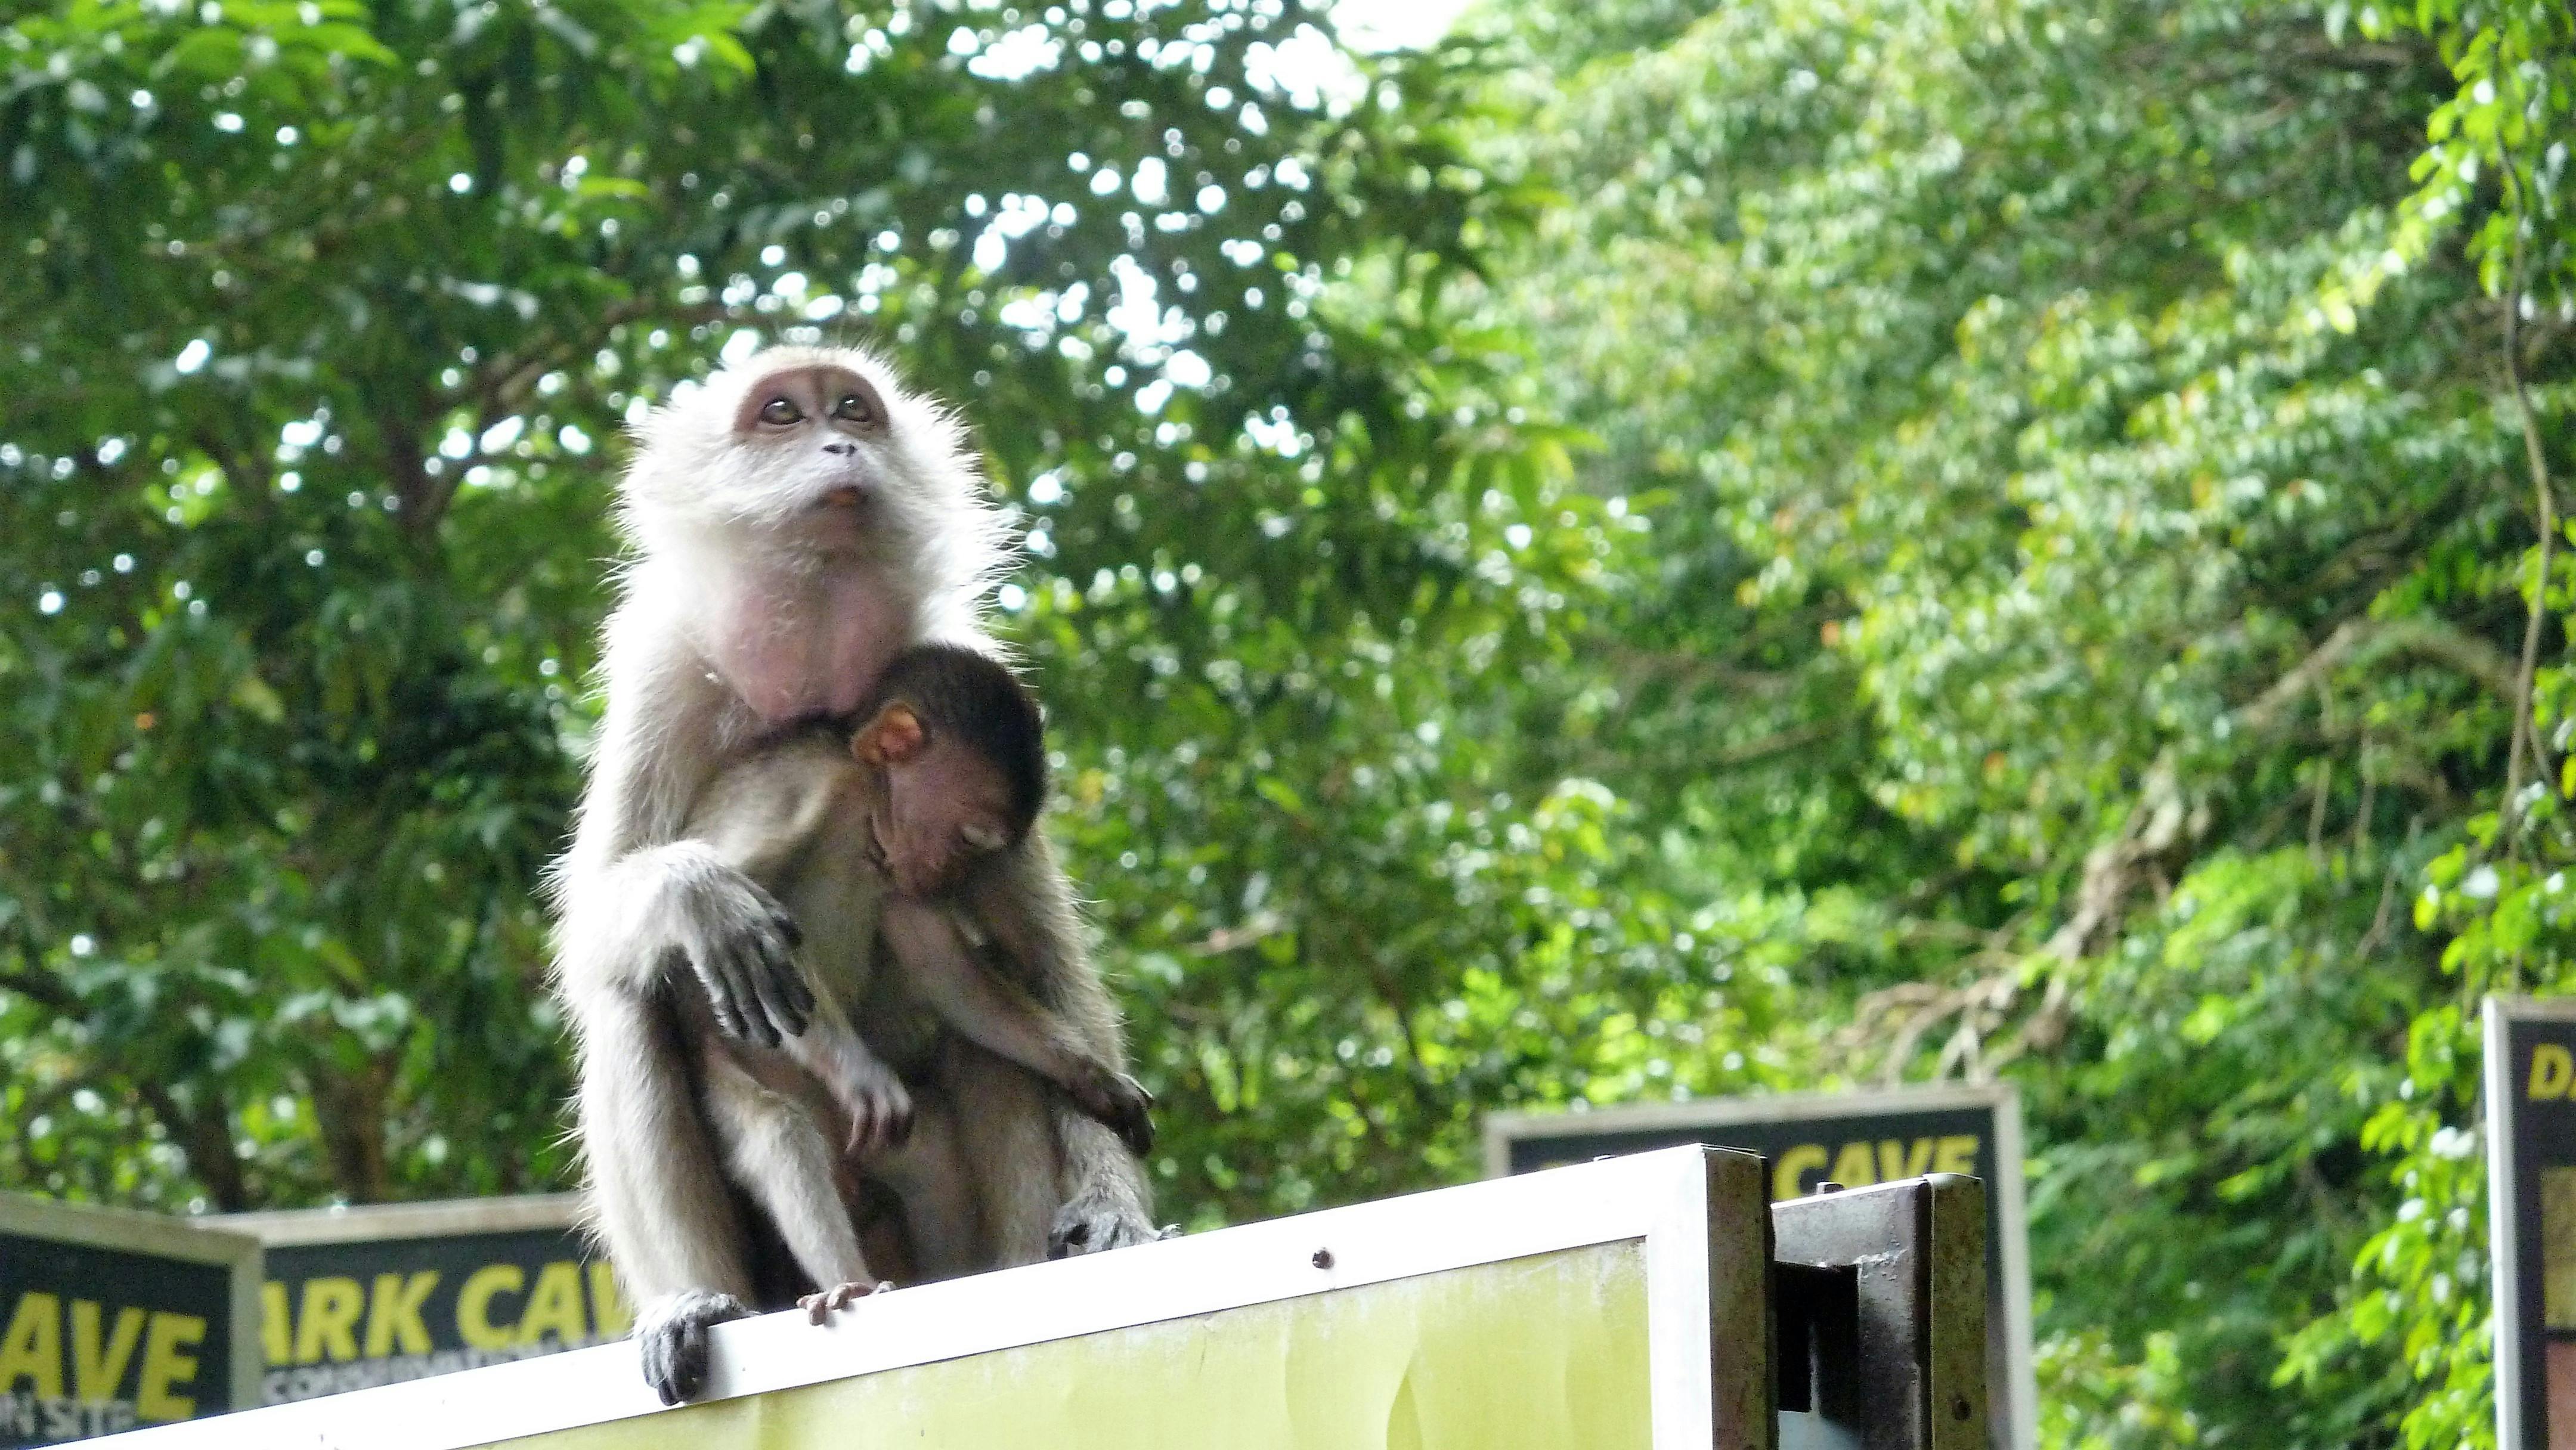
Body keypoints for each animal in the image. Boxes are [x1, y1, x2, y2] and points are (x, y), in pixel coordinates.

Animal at [553, 342, 1159, 1411]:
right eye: (782, 415)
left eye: (853, 410)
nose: (839, 443)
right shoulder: (658, 677)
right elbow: (590, 934)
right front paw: (699, 895)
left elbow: (1038, 969)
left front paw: (1110, 1185)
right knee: (636, 998)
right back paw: (703, 1301)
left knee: (985, 1047)